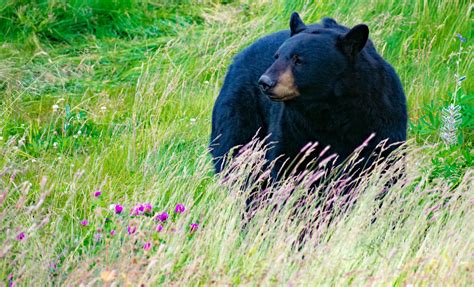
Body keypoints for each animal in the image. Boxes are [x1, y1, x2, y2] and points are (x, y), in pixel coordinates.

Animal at [211, 12, 408, 180]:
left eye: (298, 60)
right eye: (277, 56)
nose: (265, 83)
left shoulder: (381, 119)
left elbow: (383, 163)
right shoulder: (294, 126)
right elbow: (285, 163)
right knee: (233, 148)